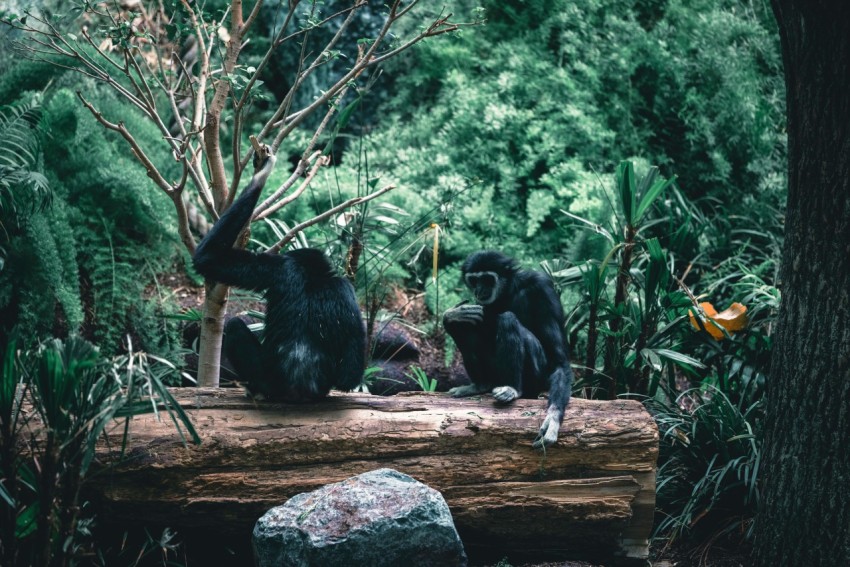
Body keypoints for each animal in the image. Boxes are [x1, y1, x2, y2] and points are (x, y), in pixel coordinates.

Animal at [192, 151, 364, 400]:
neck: (310, 274)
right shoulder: (341, 286)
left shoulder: (279, 268)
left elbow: (209, 258)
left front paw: (261, 175)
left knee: (234, 325)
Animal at [440, 252, 572, 448]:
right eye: (474, 280)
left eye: (487, 279)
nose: (478, 290)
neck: (509, 290)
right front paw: (451, 314)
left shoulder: (542, 288)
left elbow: (559, 361)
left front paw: (553, 418)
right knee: (468, 324)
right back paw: (480, 385)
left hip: (536, 378)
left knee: (508, 319)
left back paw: (513, 389)